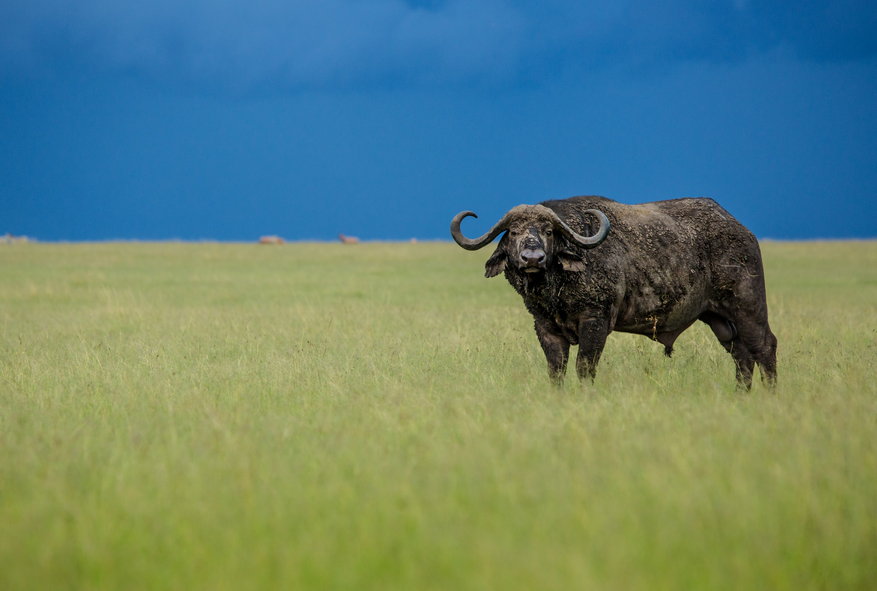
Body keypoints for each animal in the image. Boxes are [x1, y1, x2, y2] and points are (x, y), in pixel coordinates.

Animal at [448, 197, 776, 388]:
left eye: (549, 231)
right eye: (514, 231)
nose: (532, 258)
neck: (556, 290)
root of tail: (743, 232)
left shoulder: (595, 321)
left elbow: (584, 367)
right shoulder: (544, 326)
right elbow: (556, 370)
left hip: (748, 307)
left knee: (764, 346)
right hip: (718, 319)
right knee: (741, 355)